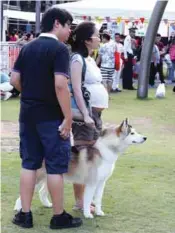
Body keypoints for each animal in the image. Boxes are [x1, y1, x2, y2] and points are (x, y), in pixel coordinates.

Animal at [14, 119, 146, 219]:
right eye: (132, 133)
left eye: (135, 132)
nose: (145, 138)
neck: (105, 151)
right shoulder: (91, 183)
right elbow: (87, 200)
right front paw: (87, 214)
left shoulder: (101, 183)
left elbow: (98, 199)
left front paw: (99, 212)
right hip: (37, 177)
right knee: (24, 192)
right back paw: (19, 208)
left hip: (51, 177)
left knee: (42, 192)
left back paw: (47, 205)